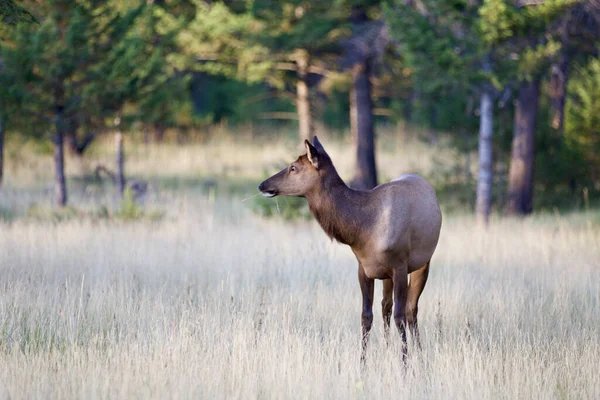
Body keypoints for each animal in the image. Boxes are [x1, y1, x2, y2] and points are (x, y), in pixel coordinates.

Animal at [258, 138, 440, 362]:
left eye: (293, 167)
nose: (262, 185)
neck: (362, 230)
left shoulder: (400, 265)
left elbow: (400, 317)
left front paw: (405, 363)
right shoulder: (364, 268)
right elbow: (366, 316)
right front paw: (362, 362)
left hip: (423, 263)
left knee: (410, 309)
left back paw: (420, 355)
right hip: (387, 275)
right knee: (386, 306)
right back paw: (389, 347)